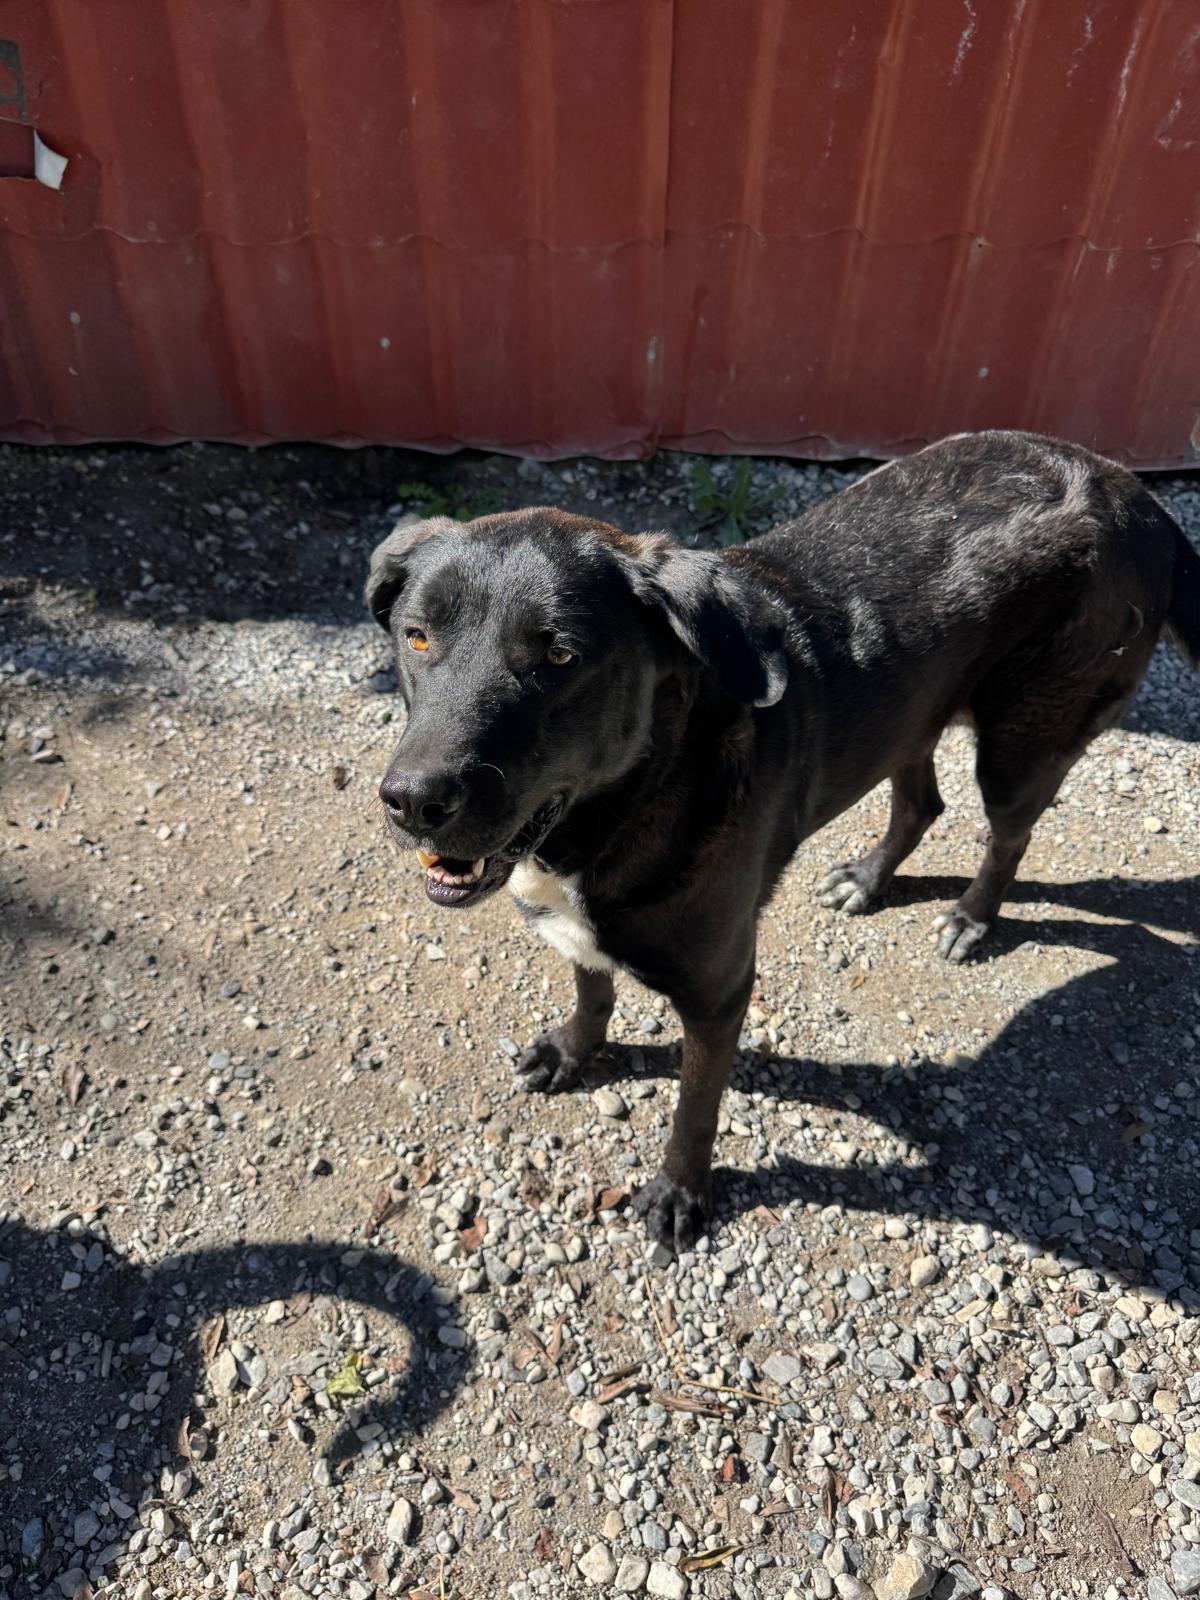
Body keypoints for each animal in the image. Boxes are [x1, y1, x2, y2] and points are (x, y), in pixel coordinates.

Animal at [366, 430, 1200, 1252]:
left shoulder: (721, 991)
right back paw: (868, 879)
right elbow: (592, 990)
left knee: (1010, 834)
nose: (412, 800)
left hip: (1023, 742)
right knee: (922, 802)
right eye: (418, 638)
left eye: (560, 656)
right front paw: (574, 1052)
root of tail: (1137, 494)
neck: (633, 799)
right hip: (910, 714)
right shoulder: (581, 934)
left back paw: (972, 916)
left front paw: (680, 1193)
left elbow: (696, 1105)